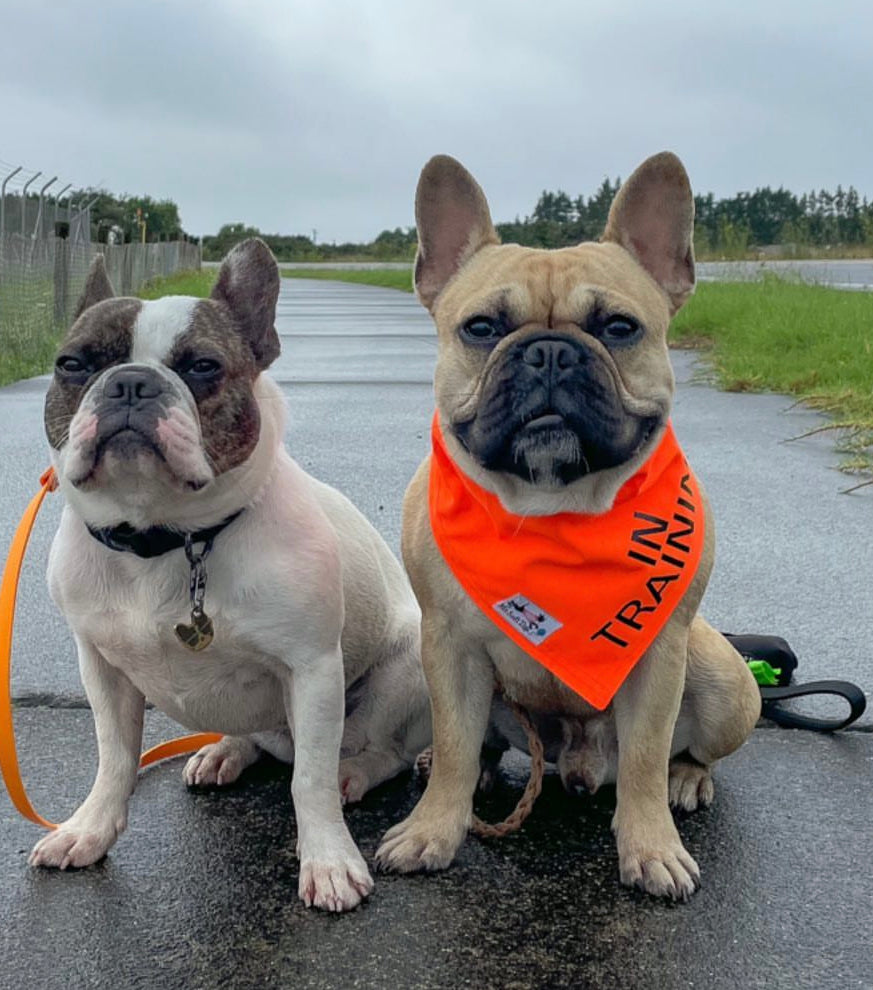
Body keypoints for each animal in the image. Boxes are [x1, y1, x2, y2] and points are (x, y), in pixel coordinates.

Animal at [29, 240, 430, 916]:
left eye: (202, 367)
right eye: (72, 364)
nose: (131, 383)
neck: (165, 539)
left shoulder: (312, 670)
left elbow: (309, 780)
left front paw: (329, 861)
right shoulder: (102, 668)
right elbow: (114, 757)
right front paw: (89, 829)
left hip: (410, 670)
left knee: (384, 751)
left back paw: (353, 772)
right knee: (256, 736)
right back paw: (225, 751)